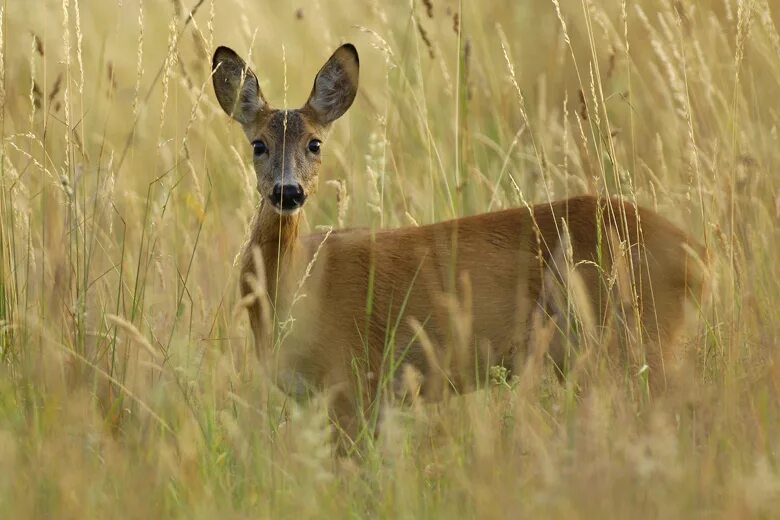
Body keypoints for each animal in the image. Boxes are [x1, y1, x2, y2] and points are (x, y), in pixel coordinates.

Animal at [212, 42, 708, 448]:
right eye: (258, 144)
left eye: (315, 143)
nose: (287, 192)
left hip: (636, 338)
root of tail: (699, 258)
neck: (299, 286)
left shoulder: (354, 381)